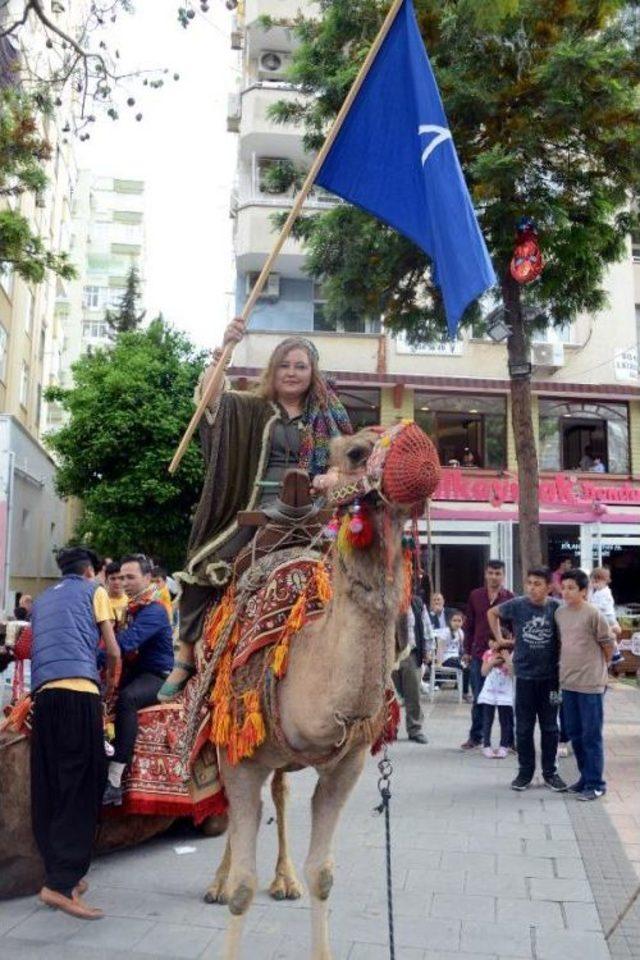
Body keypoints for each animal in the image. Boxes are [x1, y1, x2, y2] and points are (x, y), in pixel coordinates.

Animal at [205, 426, 440, 960]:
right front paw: (232, 884)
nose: (423, 456)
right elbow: (244, 887)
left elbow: (324, 875)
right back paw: (217, 882)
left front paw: (299, 880)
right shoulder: (239, 754)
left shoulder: (346, 765)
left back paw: (284, 879)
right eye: (355, 452)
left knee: (281, 792)